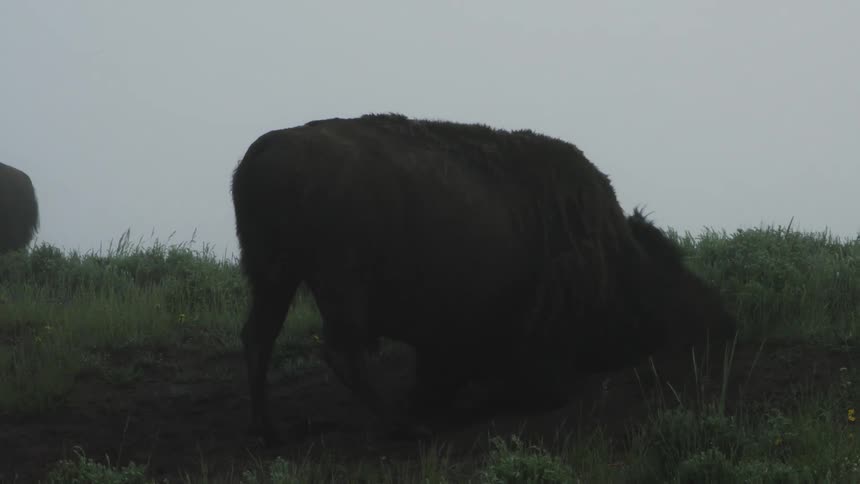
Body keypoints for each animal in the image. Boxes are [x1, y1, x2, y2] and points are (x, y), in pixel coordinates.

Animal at [231, 113, 737, 444]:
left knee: (259, 337)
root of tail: (261, 154)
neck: (612, 258)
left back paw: (270, 430)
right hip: (337, 284)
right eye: (667, 271)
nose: (720, 318)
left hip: (274, 277)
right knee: (340, 351)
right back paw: (405, 427)